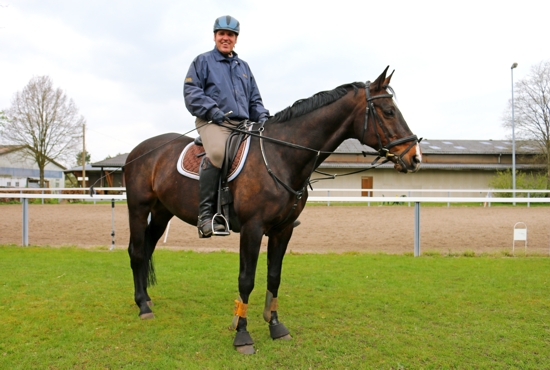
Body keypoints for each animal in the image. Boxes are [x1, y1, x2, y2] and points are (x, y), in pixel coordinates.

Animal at [124, 66, 422, 352]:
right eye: (389, 111)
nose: (415, 157)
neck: (281, 156)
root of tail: (139, 150)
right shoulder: (252, 229)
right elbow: (246, 280)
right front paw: (242, 335)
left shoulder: (283, 230)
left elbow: (274, 277)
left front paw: (275, 326)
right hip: (138, 208)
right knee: (137, 252)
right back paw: (143, 306)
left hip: (162, 213)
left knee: (147, 248)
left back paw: (147, 299)